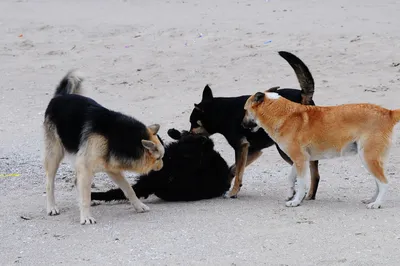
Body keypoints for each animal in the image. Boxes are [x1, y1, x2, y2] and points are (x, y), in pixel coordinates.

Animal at [42, 70, 164, 224]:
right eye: (159, 158)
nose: (162, 167)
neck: (118, 138)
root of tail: (59, 97)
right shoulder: (86, 167)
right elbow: (85, 197)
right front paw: (86, 216)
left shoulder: (112, 169)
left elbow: (128, 188)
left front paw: (138, 205)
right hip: (54, 155)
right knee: (50, 183)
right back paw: (52, 207)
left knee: (77, 182)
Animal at [188, 50, 322, 200]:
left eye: (193, 123)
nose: (188, 133)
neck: (220, 112)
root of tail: (302, 95)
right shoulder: (252, 150)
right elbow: (234, 169)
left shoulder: (241, 147)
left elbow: (238, 172)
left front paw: (233, 191)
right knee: (315, 172)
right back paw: (310, 194)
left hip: (284, 148)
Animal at [241, 90, 400, 209]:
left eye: (245, 110)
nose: (242, 125)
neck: (282, 113)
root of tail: (388, 112)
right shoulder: (299, 160)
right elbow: (291, 178)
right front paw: (291, 194)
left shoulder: (300, 160)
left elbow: (301, 183)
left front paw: (296, 201)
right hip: (371, 159)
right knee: (378, 182)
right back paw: (372, 200)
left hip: (368, 158)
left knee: (384, 182)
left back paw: (377, 203)